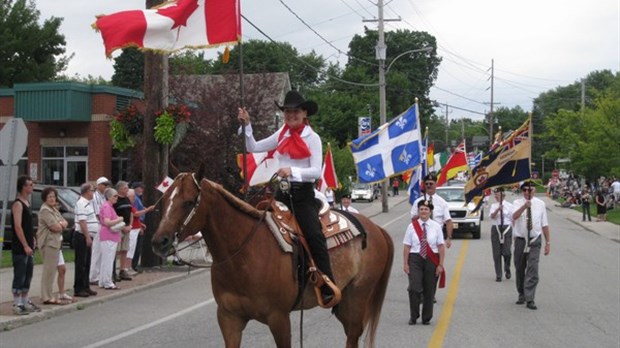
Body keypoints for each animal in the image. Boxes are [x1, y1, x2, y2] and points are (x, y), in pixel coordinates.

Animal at [151, 173, 392, 346]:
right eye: (163, 202)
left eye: (189, 202)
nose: (159, 241)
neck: (243, 256)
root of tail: (375, 228)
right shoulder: (229, 319)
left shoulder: (279, 319)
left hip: (358, 296)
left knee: (353, 335)